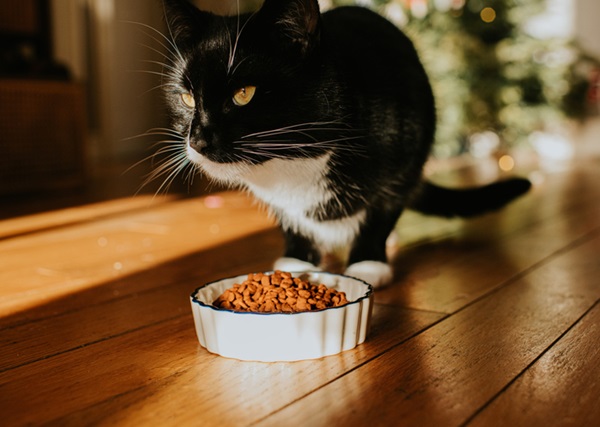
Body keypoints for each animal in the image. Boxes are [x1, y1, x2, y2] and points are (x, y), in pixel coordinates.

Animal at [159, 0, 528, 290]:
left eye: (243, 94)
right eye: (187, 97)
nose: (198, 139)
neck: (292, 162)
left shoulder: (404, 158)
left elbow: (383, 210)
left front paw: (367, 263)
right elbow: (289, 219)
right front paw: (297, 260)